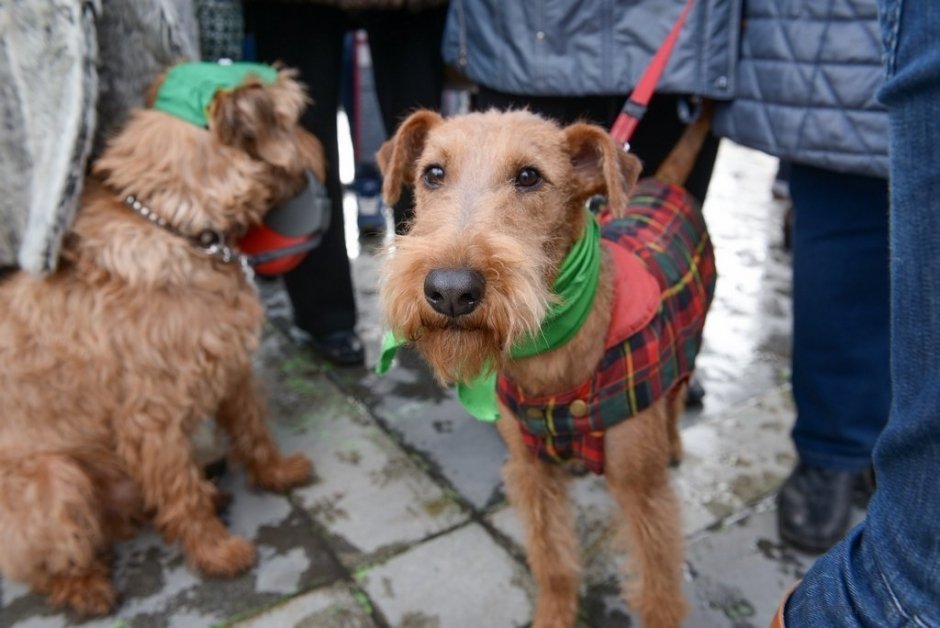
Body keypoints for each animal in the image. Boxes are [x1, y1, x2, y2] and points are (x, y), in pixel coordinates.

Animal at [0, 65, 320, 620]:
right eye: (296, 117)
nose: (321, 147)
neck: (179, 225)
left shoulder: (231, 367)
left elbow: (254, 428)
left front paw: (276, 472)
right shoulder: (150, 420)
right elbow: (180, 493)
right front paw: (216, 552)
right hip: (55, 477)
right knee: (52, 557)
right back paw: (84, 586)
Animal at [374, 109, 712, 628]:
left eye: (529, 176)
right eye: (432, 173)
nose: (450, 290)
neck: (551, 359)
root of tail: (666, 182)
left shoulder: (643, 492)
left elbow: (658, 586)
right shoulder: (532, 473)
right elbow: (552, 560)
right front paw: (553, 614)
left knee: (674, 399)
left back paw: (674, 442)